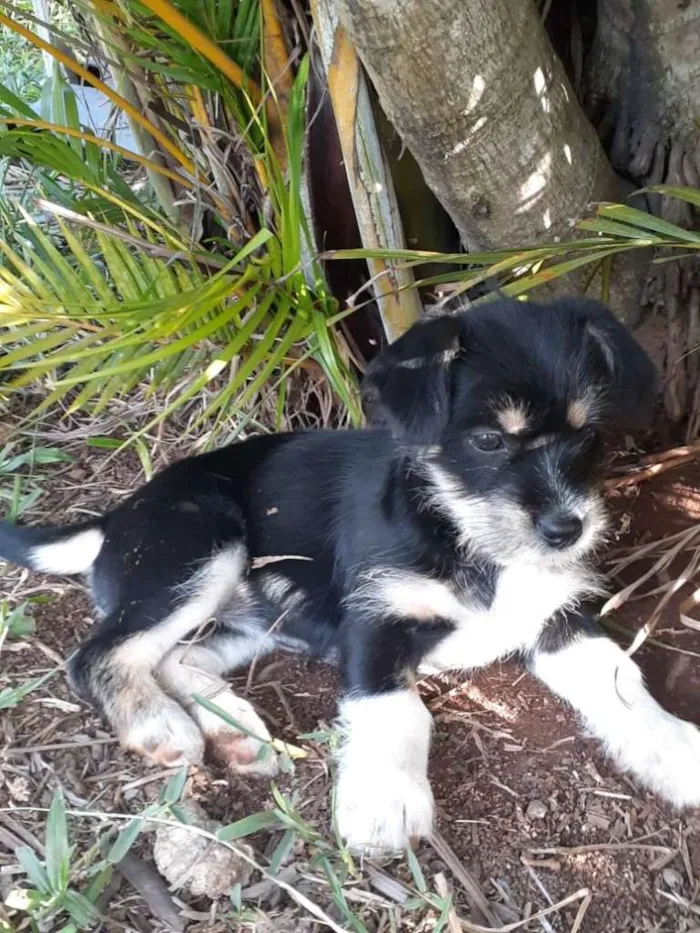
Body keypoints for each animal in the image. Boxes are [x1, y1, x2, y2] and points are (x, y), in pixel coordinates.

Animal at [2, 298, 696, 852]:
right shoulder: (375, 622)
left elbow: (620, 679)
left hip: (257, 616)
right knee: (100, 655)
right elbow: (394, 710)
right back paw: (159, 726)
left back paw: (239, 734)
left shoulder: (555, 617)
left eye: (590, 435)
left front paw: (675, 749)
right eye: (488, 443)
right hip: (201, 550)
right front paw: (385, 801)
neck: (465, 536)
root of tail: (118, 514)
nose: (566, 530)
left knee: (177, 658)